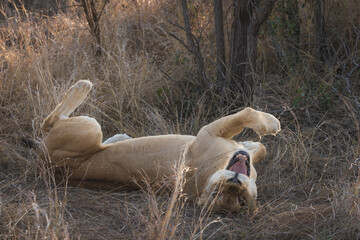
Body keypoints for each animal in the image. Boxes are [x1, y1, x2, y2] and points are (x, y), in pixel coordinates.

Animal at [40, 80, 282, 214]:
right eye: (216, 193)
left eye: (241, 201)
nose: (234, 184)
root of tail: (50, 168)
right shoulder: (209, 131)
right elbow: (248, 117)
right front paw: (270, 126)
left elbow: (257, 145)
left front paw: (254, 141)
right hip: (92, 126)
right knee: (48, 122)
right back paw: (82, 87)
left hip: (90, 132)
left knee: (51, 125)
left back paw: (118, 134)